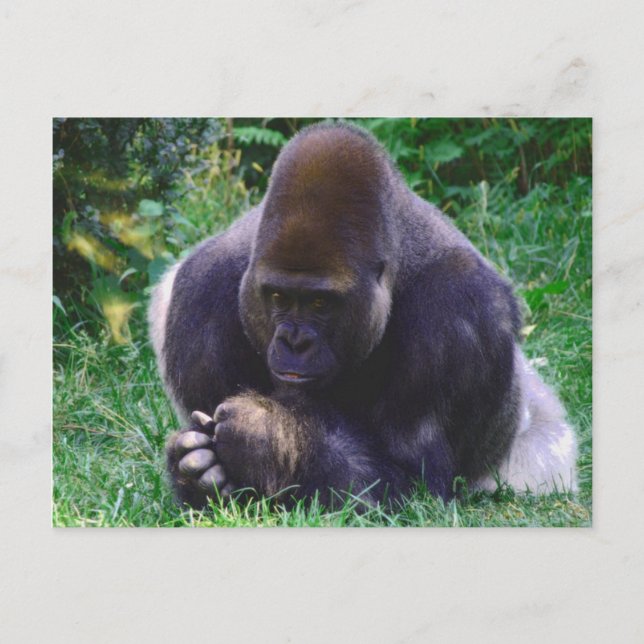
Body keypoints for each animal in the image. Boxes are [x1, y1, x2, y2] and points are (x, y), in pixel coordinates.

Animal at [148, 121, 577, 509]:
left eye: (320, 304)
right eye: (278, 297)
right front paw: (201, 478)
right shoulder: (202, 293)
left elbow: (417, 484)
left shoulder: (462, 312)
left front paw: (267, 436)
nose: (293, 341)